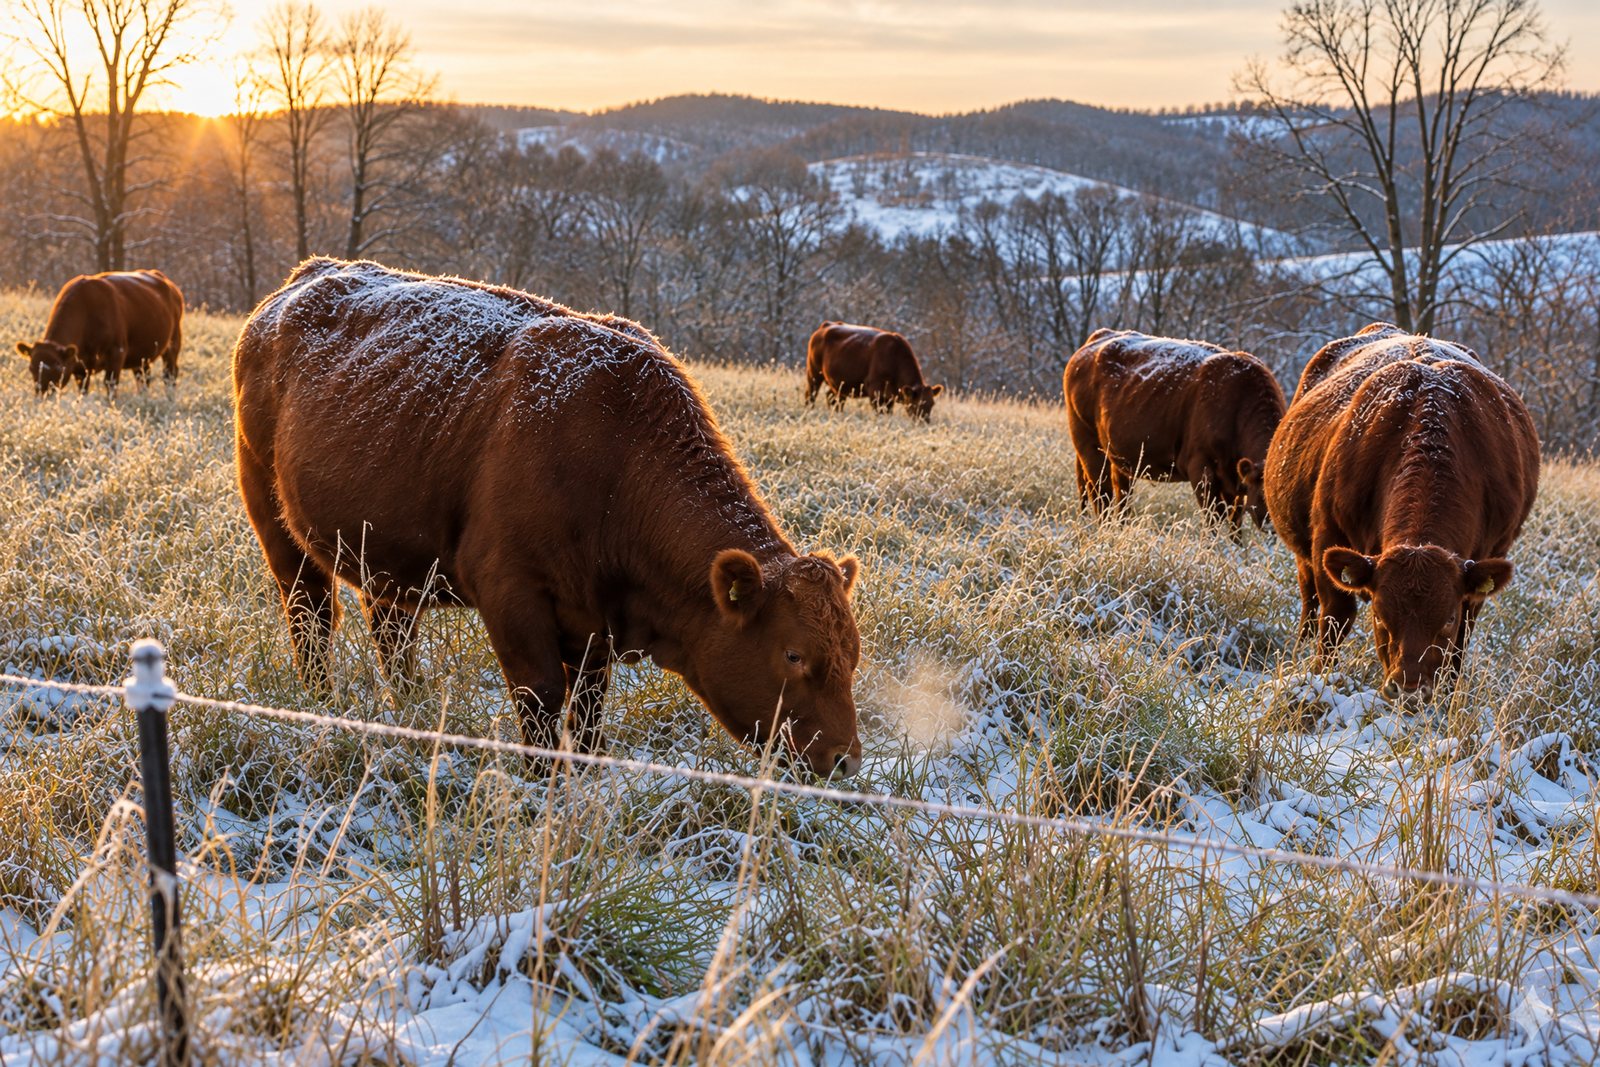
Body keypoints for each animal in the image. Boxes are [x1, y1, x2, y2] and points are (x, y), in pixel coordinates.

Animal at [15, 270, 183, 396]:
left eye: (58, 367)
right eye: (31, 368)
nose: (43, 393)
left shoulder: (117, 352)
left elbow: (110, 384)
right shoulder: (80, 366)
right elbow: (83, 389)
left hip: (173, 343)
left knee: (170, 374)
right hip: (141, 355)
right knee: (143, 376)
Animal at [233, 258, 865, 777]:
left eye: (853, 654)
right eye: (793, 654)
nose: (846, 760)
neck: (614, 457)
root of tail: (304, 279)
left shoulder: (593, 627)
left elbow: (586, 713)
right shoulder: (512, 594)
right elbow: (540, 701)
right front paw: (541, 787)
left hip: (387, 553)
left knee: (390, 627)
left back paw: (409, 706)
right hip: (276, 523)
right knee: (311, 614)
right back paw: (321, 701)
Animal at [805, 322, 944, 421]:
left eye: (932, 404)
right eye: (917, 403)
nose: (924, 422)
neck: (894, 357)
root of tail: (826, 325)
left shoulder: (889, 397)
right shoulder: (875, 391)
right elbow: (879, 412)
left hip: (838, 384)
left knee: (833, 398)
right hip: (814, 373)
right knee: (811, 394)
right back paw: (810, 410)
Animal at [1063, 328, 1286, 533]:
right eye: (1266, 493)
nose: (1276, 528)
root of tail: (1098, 337)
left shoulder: (1234, 480)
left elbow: (1234, 522)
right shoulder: (1201, 467)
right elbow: (1214, 519)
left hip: (1118, 456)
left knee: (1120, 495)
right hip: (1088, 445)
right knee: (1100, 494)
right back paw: (1105, 529)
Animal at [1264, 322, 1540, 703]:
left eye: (1447, 619)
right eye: (1381, 616)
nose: (1410, 690)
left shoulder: (1486, 562)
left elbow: (1461, 641)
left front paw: (1448, 695)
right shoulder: (1327, 539)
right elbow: (1335, 618)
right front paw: (1318, 679)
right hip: (1303, 553)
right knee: (1310, 602)